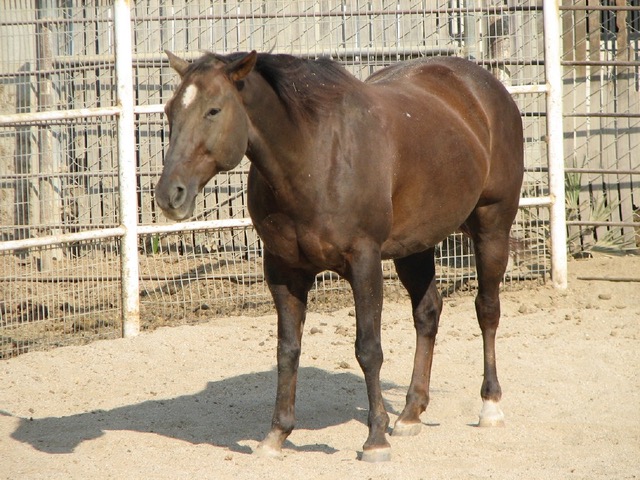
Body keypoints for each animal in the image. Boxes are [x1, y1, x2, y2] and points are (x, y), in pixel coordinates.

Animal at [155, 50, 524, 462]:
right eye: (170, 110)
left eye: (214, 110)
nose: (169, 194)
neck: (313, 159)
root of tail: (482, 83)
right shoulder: (283, 271)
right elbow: (287, 350)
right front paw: (276, 435)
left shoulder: (364, 263)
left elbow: (368, 349)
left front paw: (375, 439)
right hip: (416, 244)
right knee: (428, 313)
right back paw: (411, 413)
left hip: (493, 225)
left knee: (487, 310)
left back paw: (490, 406)